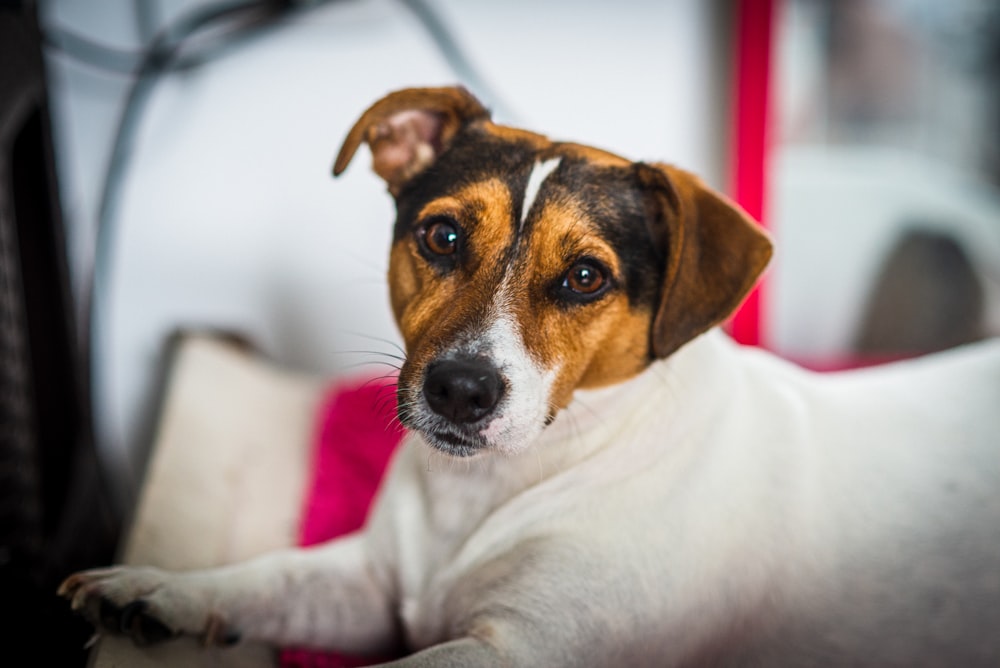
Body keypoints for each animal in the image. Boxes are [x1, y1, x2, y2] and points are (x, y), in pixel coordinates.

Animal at [60, 88, 1000, 668]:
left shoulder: (520, 649)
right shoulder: (369, 587)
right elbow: (272, 575)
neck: (492, 487)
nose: (460, 390)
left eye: (585, 276)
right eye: (441, 236)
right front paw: (160, 589)